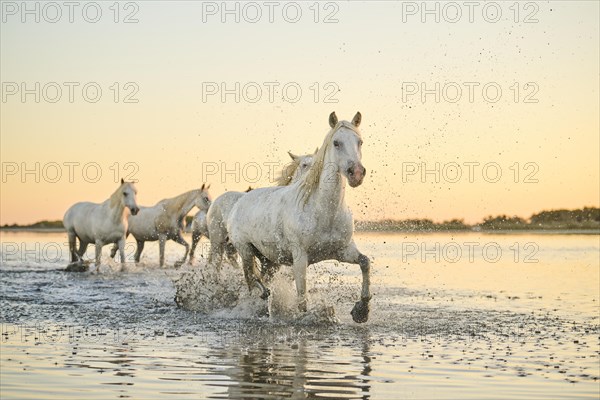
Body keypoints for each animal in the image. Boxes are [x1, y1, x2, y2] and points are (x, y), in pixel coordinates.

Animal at [229, 111, 372, 324]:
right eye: (336, 143)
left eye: (360, 142)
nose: (356, 173)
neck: (323, 212)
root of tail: (239, 202)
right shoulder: (299, 257)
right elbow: (302, 297)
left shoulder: (342, 250)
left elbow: (365, 262)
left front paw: (361, 311)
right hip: (245, 250)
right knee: (252, 279)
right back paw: (262, 300)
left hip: (269, 259)